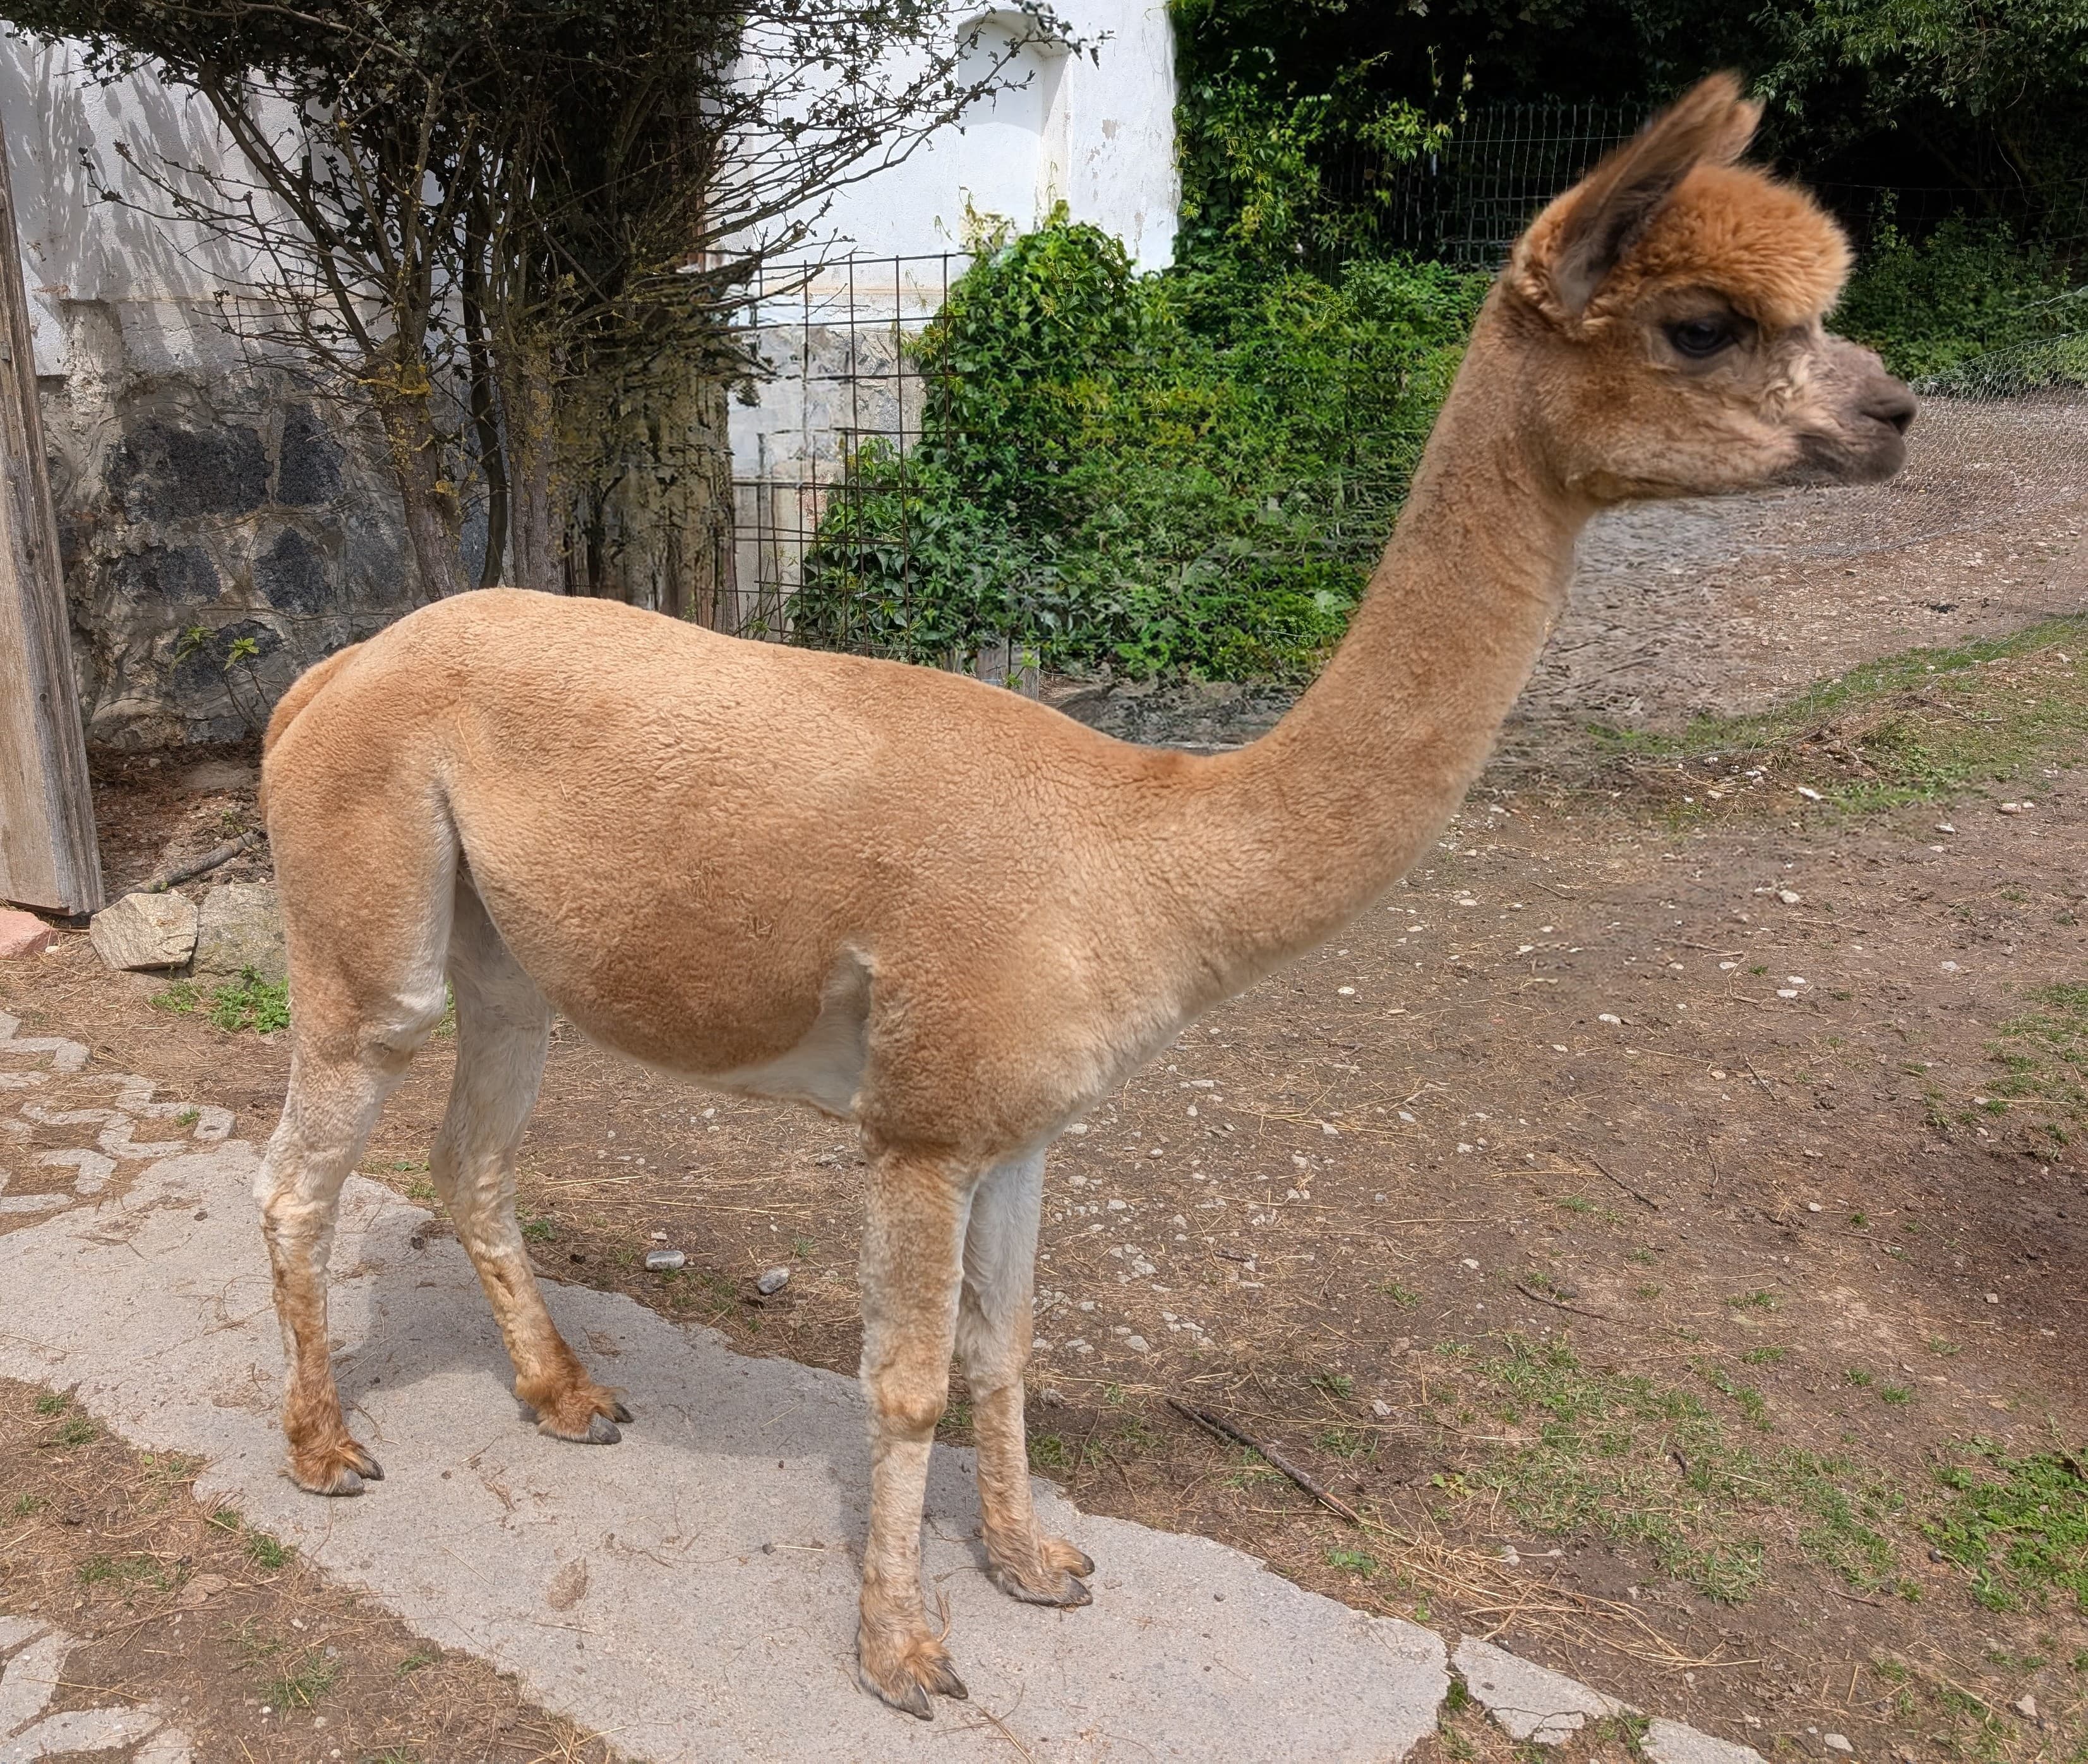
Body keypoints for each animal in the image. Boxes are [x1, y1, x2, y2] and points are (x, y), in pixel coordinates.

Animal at [254, 73, 1912, 1717]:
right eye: (1701, 325)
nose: (1893, 414)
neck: (1141, 853)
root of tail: (326, 674)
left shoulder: (1029, 1122)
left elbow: (1007, 1347)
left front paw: (1032, 1563)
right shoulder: (922, 1123)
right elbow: (908, 1377)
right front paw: (903, 1651)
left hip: (512, 965)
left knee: (471, 1162)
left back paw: (563, 1395)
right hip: (369, 918)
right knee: (299, 1173)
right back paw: (325, 1446)